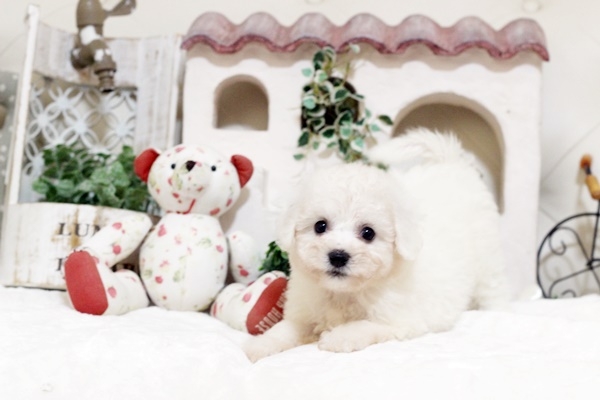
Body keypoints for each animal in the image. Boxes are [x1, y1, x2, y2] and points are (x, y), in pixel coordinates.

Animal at [244, 128, 508, 362]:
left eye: (368, 233)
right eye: (320, 226)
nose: (338, 256)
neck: (343, 293)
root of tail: (451, 162)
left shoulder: (401, 319)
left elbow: (368, 325)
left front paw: (339, 336)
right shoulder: (304, 313)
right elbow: (285, 329)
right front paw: (260, 345)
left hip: (489, 260)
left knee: (494, 290)